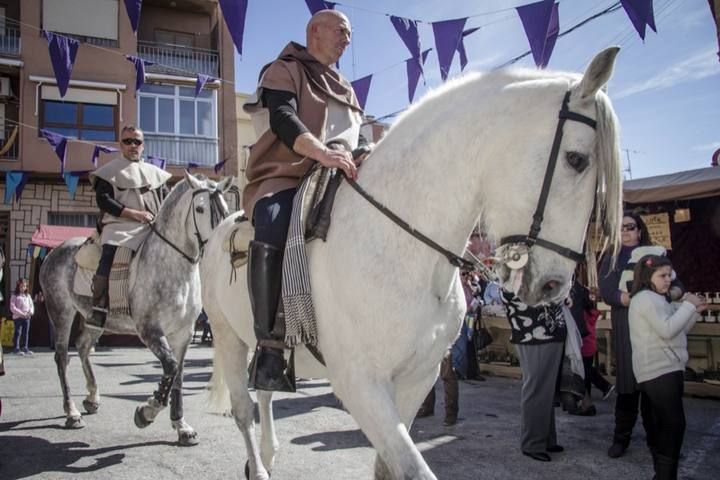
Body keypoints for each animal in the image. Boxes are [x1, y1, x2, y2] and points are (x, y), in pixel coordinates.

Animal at [39, 172, 231, 446]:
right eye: (200, 209)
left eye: (225, 209)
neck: (171, 264)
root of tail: (54, 251)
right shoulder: (149, 329)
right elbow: (170, 367)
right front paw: (146, 412)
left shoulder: (183, 333)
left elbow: (178, 374)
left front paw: (181, 426)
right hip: (61, 312)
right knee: (63, 357)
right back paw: (72, 412)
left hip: (94, 319)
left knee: (83, 347)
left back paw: (92, 398)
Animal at [200, 47, 620, 478]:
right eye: (576, 159)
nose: (555, 286)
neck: (406, 250)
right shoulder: (360, 384)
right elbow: (414, 468)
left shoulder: (418, 377)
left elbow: (389, 467)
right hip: (229, 338)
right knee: (243, 408)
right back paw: (258, 465)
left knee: (265, 393)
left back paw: (267, 455)